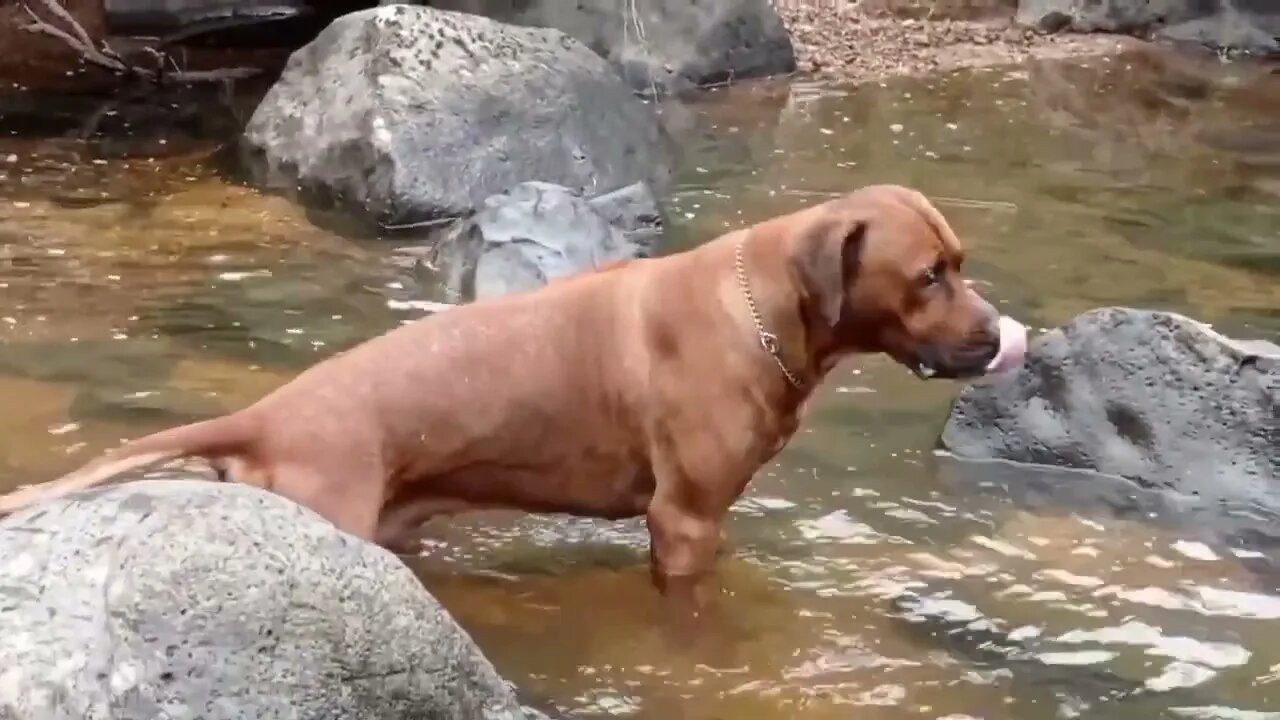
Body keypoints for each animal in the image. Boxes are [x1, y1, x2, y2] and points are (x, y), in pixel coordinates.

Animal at [0, 183, 1024, 604]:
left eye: (961, 263)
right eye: (929, 276)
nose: (999, 335)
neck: (761, 308)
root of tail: (268, 414)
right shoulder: (684, 523)